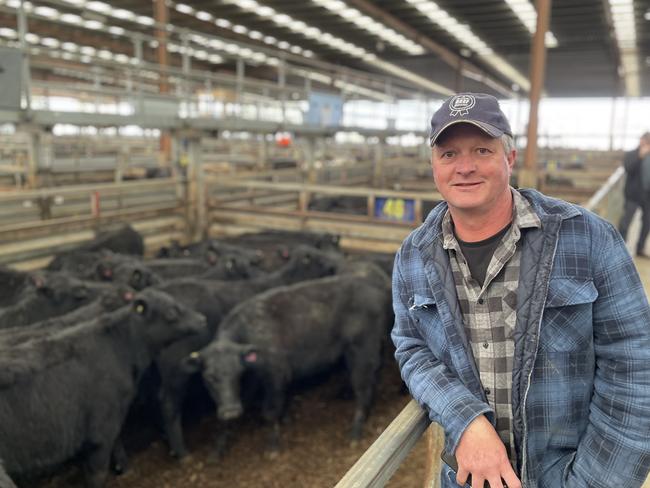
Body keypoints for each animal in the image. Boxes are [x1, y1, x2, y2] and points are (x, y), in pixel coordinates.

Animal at [0, 290, 205, 488]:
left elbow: (118, 444)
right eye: (171, 313)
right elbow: (97, 474)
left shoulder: (112, 419)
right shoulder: (101, 432)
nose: (202, 318)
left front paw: (126, 470)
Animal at [185, 264, 392, 452]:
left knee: (363, 387)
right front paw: (218, 447)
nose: (231, 412)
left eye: (237, 372)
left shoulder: (275, 373)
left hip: (363, 350)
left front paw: (273, 446)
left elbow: (270, 411)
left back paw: (355, 432)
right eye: (209, 377)